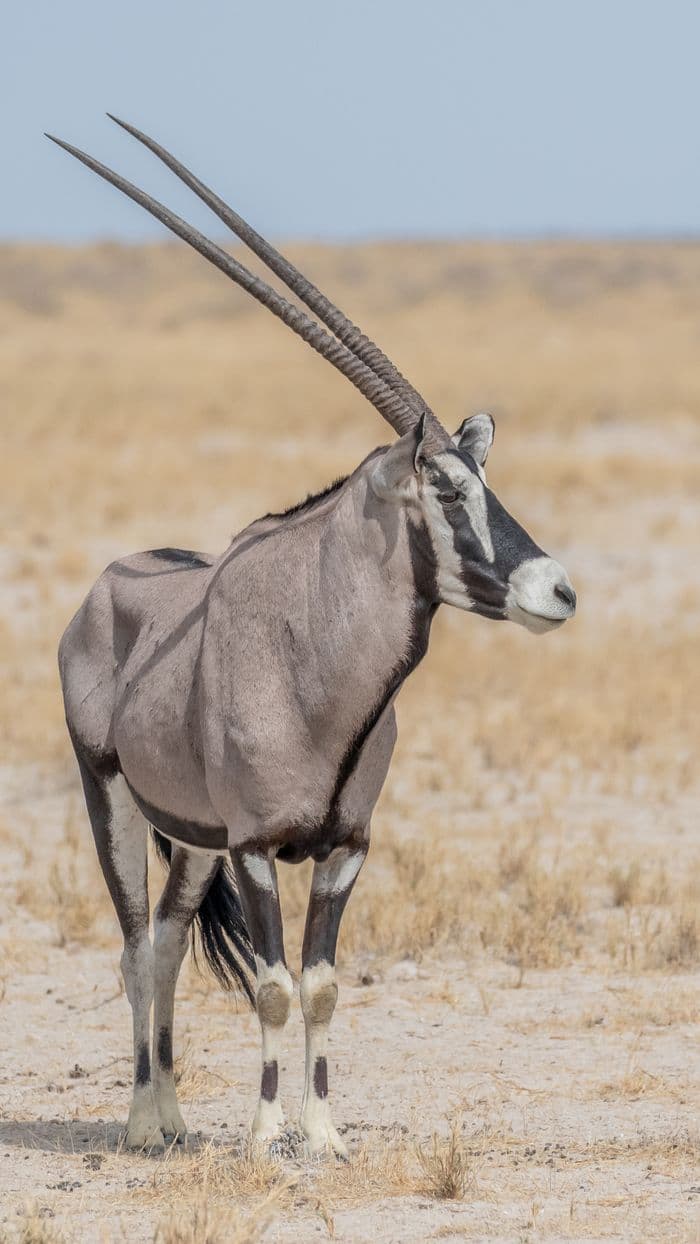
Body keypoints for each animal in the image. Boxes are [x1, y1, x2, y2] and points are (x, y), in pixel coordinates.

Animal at [47, 118, 574, 1154]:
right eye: (448, 490)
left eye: (485, 481)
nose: (557, 590)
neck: (317, 666)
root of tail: (108, 586)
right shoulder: (257, 846)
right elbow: (274, 986)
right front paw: (264, 1139)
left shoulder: (343, 847)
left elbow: (322, 987)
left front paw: (323, 1135)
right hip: (113, 799)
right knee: (131, 945)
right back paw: (140, 1122)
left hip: (191, 838)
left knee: (165, 941)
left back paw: (173, 1117)